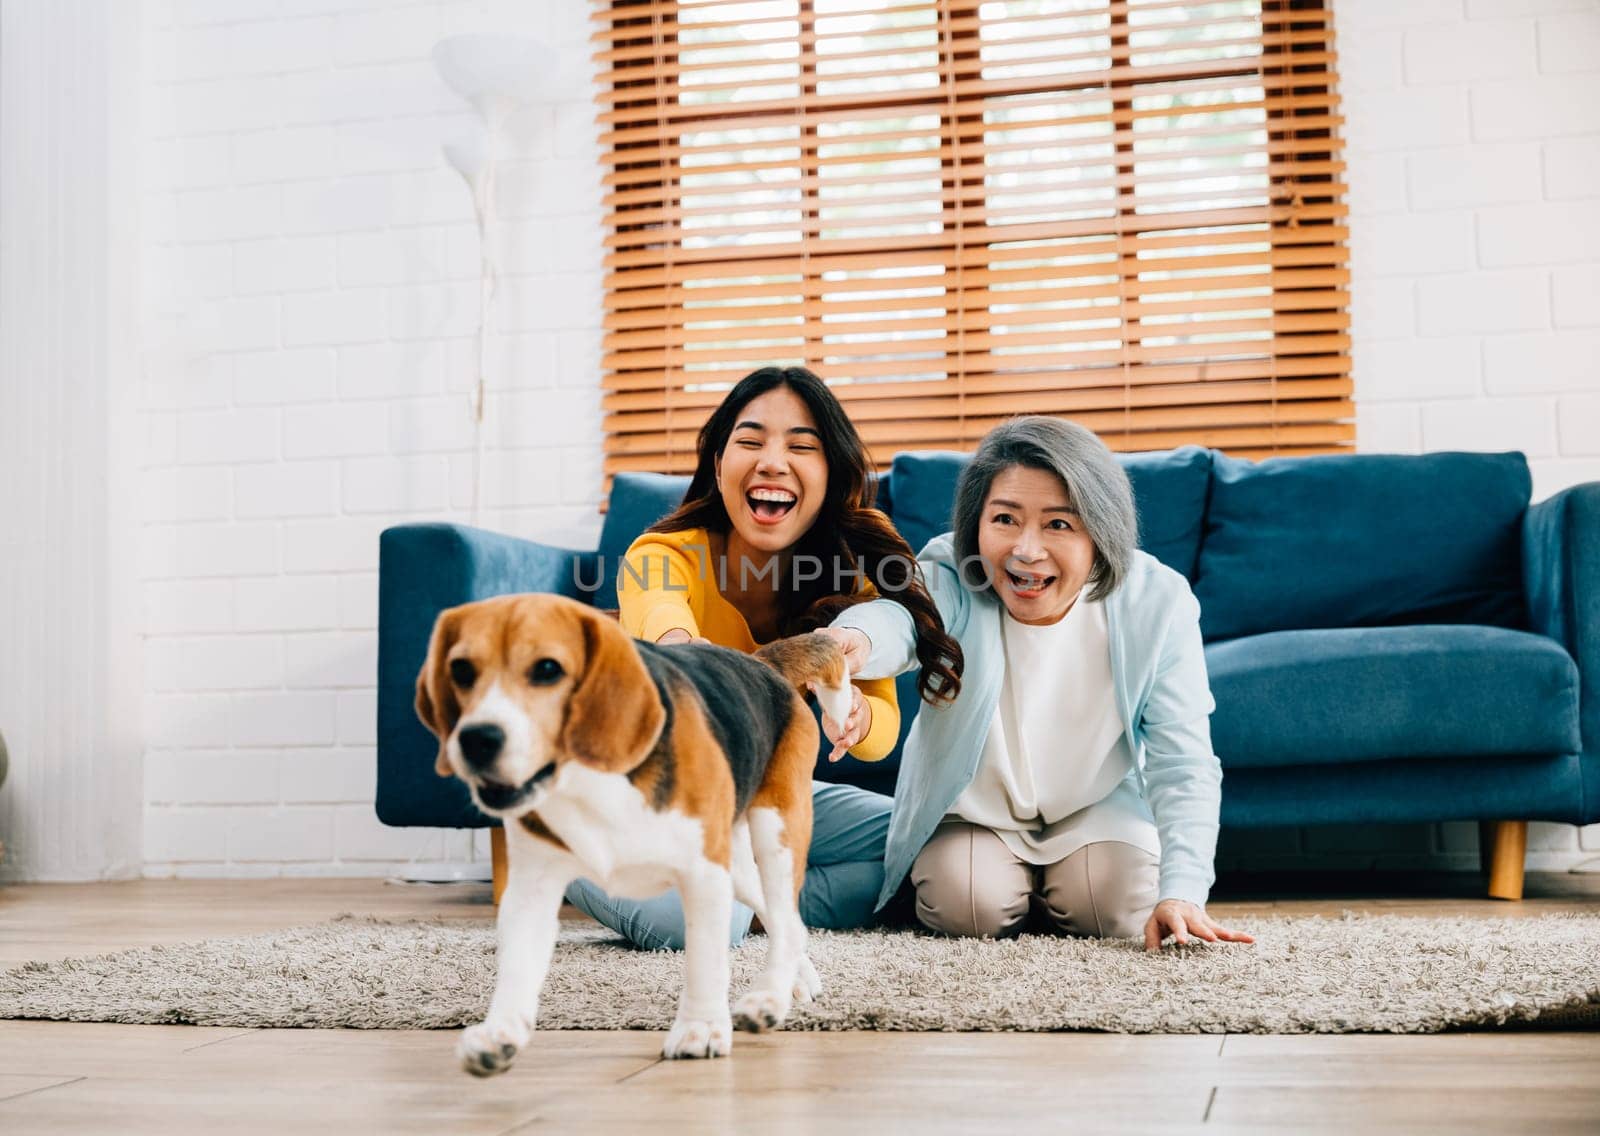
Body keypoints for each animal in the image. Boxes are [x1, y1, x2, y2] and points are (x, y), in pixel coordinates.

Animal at [419, 595, 857, 1075]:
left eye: (548, 669)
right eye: (461, 670)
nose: (477, 740)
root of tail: (761, 663)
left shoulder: (703, 874)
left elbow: (705, 959)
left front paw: (700, 1030)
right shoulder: (532, 886)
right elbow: (517, 961)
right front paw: (500, 1032)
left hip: (775, 830)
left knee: (782, 910)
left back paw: (768, 998)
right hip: (739, 864)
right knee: (787, 922)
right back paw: (799, 980)